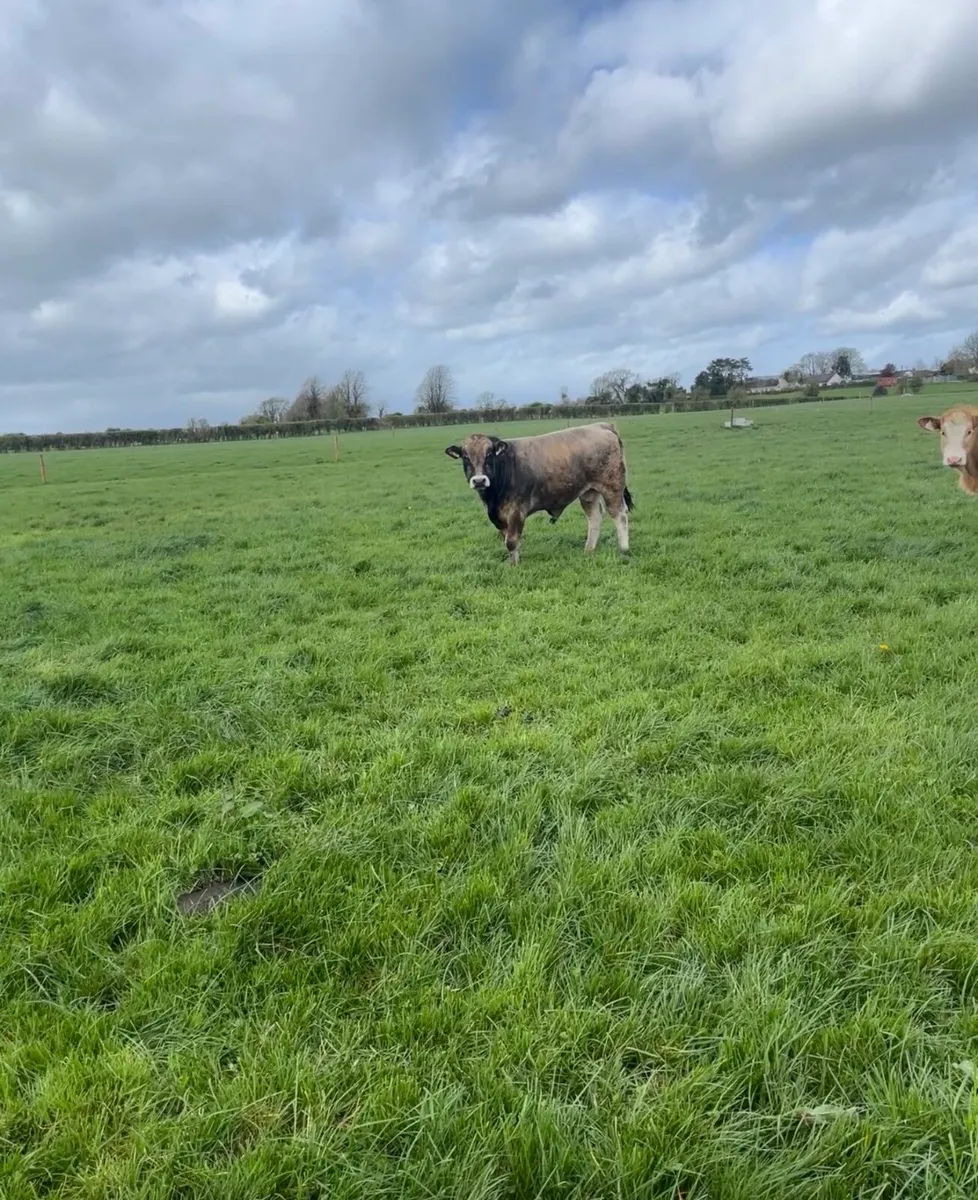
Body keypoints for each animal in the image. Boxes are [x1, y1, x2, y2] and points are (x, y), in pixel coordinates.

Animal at [444, 422, 634, 564]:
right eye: (465, 457)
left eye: (489, 454)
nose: (479, 480)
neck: (493, 498)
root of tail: (601, 426)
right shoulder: (499, 517)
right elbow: (508, 540)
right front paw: (513, 561)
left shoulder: (517, 511)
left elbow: (511, 541)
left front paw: (514, 566)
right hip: (589, 492)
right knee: (595, 517)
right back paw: (588, 550)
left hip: (612, 486)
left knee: (619, 515)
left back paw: (623, 549)